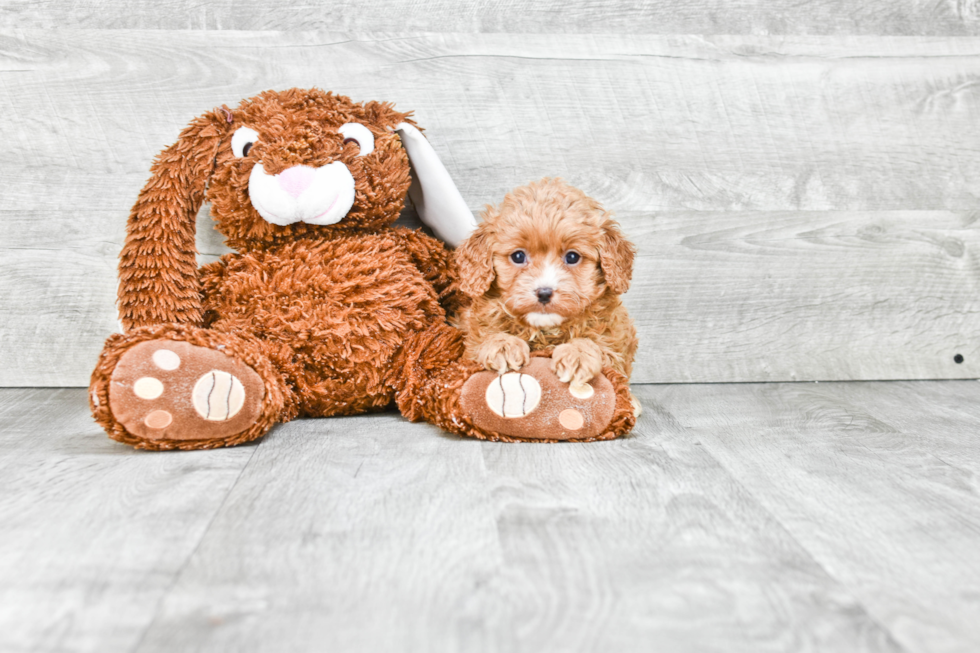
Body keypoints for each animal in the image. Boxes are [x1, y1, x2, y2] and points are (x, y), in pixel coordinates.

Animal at [454, 178, 640, 412]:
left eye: (572, 257)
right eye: (518, 256)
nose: (544, 293)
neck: (545, 330)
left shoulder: (614, 347)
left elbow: (595, 344)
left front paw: (577, 354)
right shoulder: (470, 344)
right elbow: (484, 338)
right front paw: (502, 344)